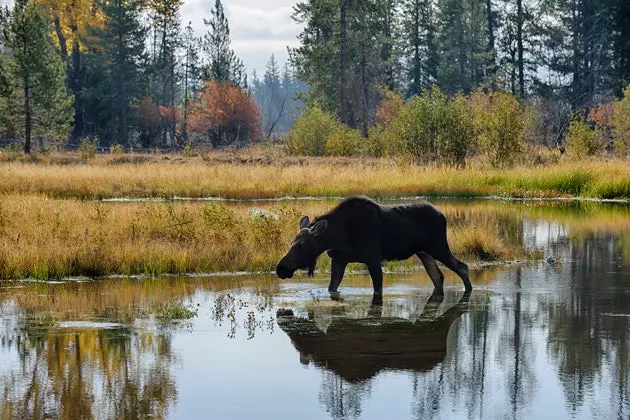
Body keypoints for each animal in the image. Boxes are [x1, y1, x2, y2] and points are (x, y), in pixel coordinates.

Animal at [276, 197, 474, 296]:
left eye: (300, 245)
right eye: (291, 242)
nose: (280, 268)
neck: (336, 235)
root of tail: (443, 216)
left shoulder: (372, 257)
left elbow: (378, 288)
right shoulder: (339, 259)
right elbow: (332, 287)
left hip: (438, 246)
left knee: (462, 267)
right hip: (423, 252)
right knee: (438, 276)